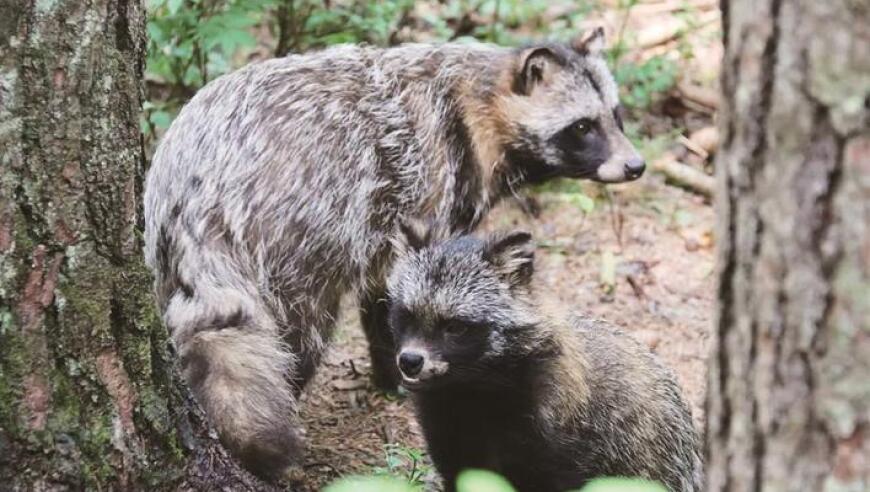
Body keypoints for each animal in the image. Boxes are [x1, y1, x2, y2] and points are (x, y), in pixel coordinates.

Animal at [145, 26, 648, 476]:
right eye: (582, 127)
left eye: (617, 115)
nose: (635, 165)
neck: (476, 104)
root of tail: (196, 189)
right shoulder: (428, 187)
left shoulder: (383, 228)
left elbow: (385, 294)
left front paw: (390, 369)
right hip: (296, 228)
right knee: (301, 328)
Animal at [386, 229, 700, 492]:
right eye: (407, 315)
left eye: (455, 327)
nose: (410, 361)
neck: (469, 389)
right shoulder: (450, 435)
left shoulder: (559, 441)